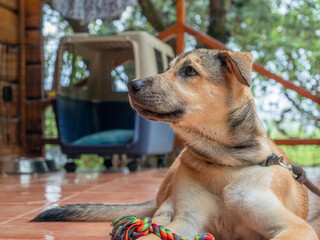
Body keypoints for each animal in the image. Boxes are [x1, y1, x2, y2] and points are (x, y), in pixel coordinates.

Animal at [31, 49, 318, 240]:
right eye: (168, 68)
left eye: (189, 71)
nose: (131, 84)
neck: (224, 161)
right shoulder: (187, 220)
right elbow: (156, 234)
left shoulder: (294, 227)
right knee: (161, 211)